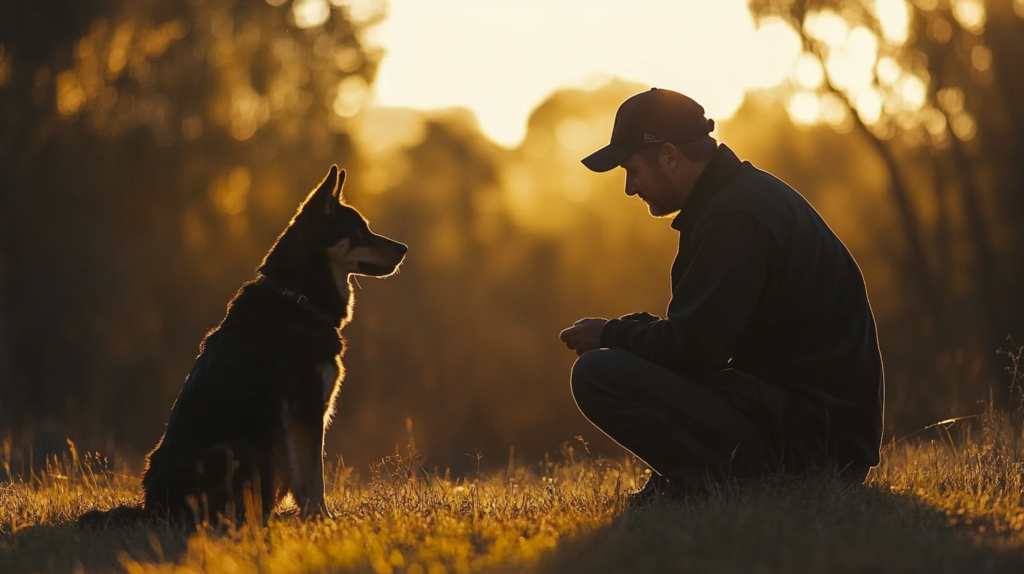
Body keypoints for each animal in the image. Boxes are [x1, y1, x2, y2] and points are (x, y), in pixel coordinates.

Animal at [78, 163, 403, 527]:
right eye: (360, 231)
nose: (404, 249)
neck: (298, 299)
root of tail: (154, 508)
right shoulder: (305, 408)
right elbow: (313, 476)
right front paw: (321, 519)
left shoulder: (303, 416)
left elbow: (306, 477)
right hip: (244, 447)